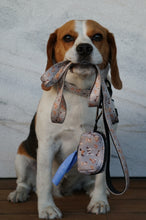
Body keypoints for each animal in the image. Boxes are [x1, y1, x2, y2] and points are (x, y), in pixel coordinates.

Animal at [8, 20, 122, 218]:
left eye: (97, 36)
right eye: (68, 37)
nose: (84, 48)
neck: (81, 93)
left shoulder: (103, 143)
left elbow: (101, 180)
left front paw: (99, 201)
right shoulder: (47, 146)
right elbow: (44, 182)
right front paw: (47, 208)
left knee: (90, 181)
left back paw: (92, 189)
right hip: (21, 157)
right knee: (25, 182)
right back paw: (19, 193)